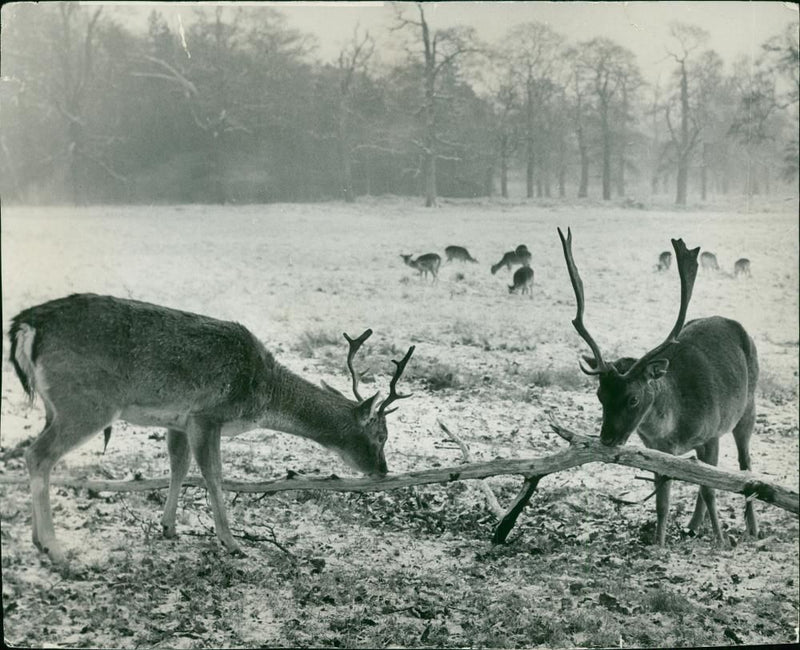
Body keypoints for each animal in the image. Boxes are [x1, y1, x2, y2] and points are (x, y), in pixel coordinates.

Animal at [9, 294, 416, 560]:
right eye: (381, 435)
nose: (383, 471)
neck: (261, 393)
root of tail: (26, 324)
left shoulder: (178, 420)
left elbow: (178, 467)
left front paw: (169, 527)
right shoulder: (208, 414)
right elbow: (214, 475)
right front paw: (233, 543)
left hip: (54, 407)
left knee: (37, 456)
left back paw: (37, 539)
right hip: (87, 404)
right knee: (37, 455)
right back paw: (55, 549)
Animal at [560, 228, 760, 548]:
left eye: (632, 398)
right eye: (599, 395)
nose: (607, 439)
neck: (671, 430)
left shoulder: (710, 434)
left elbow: (710, 489)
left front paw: (720, 540)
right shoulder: (654, 450)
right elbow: (663, 501)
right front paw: (659, 542)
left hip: (748, 406)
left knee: (745, 465)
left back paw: (752, 528)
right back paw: (692, 526)